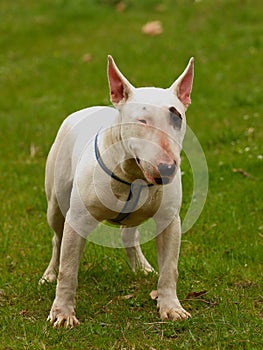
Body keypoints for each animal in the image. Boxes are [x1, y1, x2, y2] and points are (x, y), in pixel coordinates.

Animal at [40, 55, 195, 328]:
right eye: (141, 121)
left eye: (177, 118)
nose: (167, 168)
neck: (133, 175)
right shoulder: (77, 220)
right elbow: (68, 270)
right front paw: (62, 313)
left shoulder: (169, 221)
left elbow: (169, 269)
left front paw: (171, 307)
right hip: (55, 204)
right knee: (57, 238)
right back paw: (49, 274)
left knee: (128, 235)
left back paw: (142, 267)